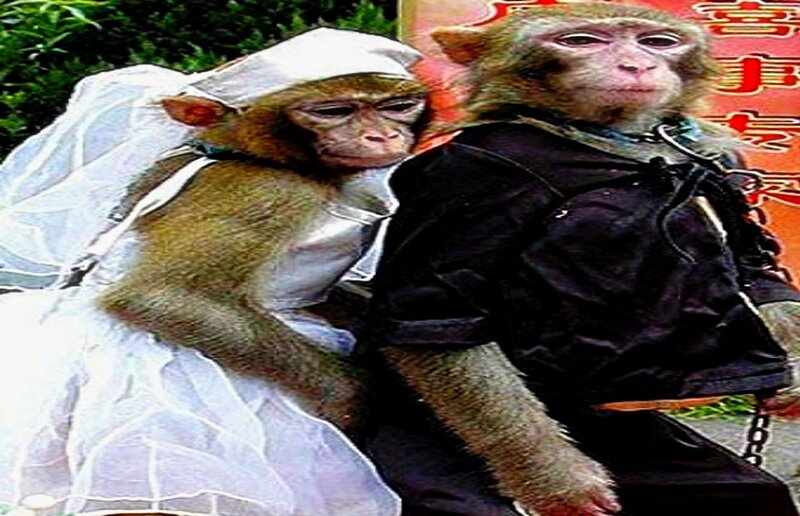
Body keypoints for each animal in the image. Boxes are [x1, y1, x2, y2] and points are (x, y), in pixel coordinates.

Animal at [360, 4, 800, 516]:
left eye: (657, 42)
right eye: (581, 41)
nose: (636, 65)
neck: (621, 138)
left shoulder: (717, 161)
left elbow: (755, 267)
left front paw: (792, 372)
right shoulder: (470, 178)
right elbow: (436, 319)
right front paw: (557, 480)